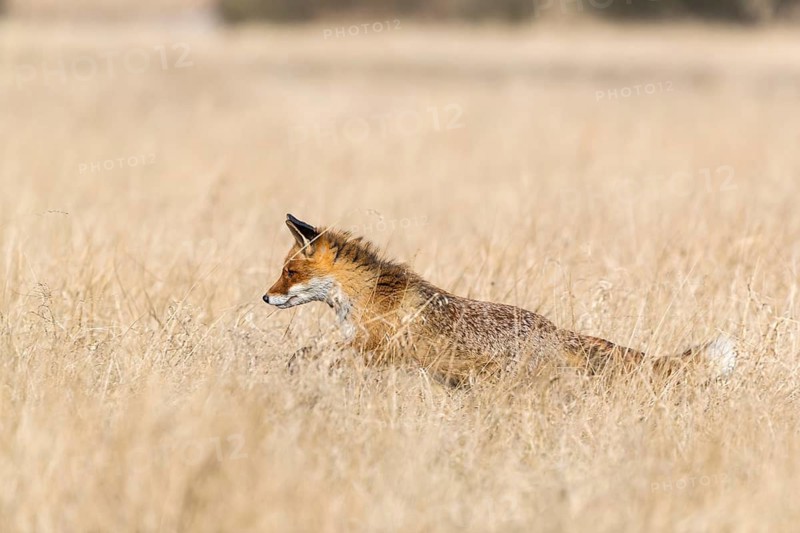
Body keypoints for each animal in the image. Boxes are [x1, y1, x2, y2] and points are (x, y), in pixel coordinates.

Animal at [263, 214, 737, 386]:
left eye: (289, 273)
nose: (266, 296)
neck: (365, 297)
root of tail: (553, 329)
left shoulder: (375, 347)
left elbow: (311, 352)